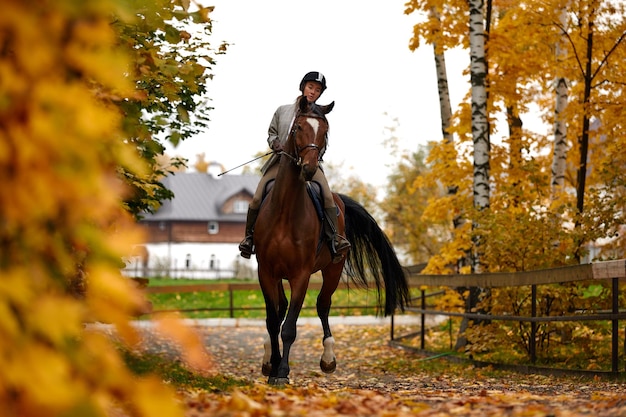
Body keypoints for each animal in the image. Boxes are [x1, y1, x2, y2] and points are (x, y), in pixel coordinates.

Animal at [254, 95, 410, 384]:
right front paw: (273, 365)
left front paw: (283, 372)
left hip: (333, 269)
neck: (284, 211)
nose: (309, 167)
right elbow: (272, 320)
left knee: (323, 305)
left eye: (325, 132)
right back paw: (270, 360)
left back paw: (328, 358)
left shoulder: (301, 275)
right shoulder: (266, 271)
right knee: (280, 310)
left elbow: (290, 326)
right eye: (297, 128)